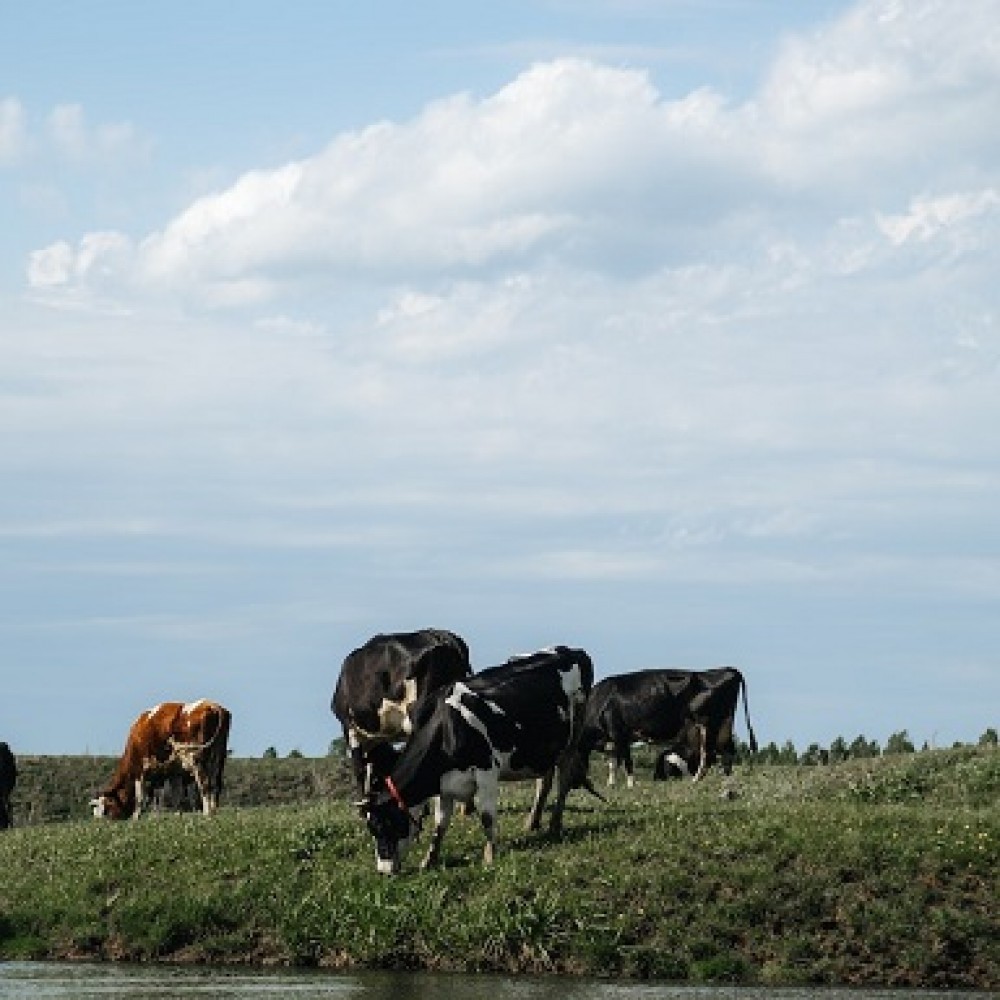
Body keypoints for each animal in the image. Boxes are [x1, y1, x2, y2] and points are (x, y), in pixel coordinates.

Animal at [89, 696, 230, 820]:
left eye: (104, 808)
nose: (99, 821)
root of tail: (212, 705)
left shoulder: (140, 770)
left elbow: (141, 797)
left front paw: (136, 817)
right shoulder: (172, 773)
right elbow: (172, 795)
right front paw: (175, 815)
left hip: (197, 759)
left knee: (204, 784)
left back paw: (207, 814)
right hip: (218, 757)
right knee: (216, 783)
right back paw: (213, 811)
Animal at [360, 644, 592, 872]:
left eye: (382, 825)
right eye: (372, 829)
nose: (383, 871)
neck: (447, 728)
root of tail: (573, 650)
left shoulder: (486, 771)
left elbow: (487, 817)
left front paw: (490, 857)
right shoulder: (444, 784)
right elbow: (440, 824)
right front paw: (429, 860)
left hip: (573, 736)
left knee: (564, 779)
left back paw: (555, 824)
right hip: (547, 748)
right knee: (544, 780)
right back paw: (532, 823)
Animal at [576, 668, 752, 784]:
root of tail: (727, 669)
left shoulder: (619, 733)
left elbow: (626, 761)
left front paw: (631, 784)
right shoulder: (611, 739)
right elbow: (612, 762)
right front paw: (611, 784)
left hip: (708, 724)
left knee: (708, 755)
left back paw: (695, 781)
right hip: (724, 725)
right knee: (727, 752)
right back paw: (727, 782)